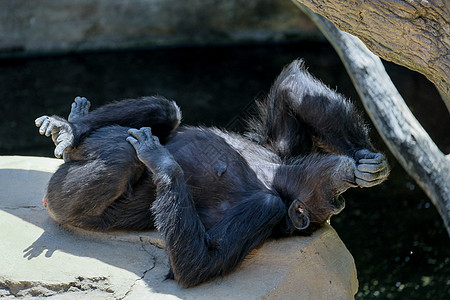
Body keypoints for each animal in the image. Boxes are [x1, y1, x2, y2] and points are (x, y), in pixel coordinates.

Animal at [35, 59, 388, 288]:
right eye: (337, 197)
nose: (343, 197)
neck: (273, 176)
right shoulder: (279, 150)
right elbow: (290, 89)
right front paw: (369, 162)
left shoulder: (266, 209)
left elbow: (200, 263)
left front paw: (163, 162)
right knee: (166, 111)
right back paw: (70, 127)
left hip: (65, 203)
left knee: (123, 157)